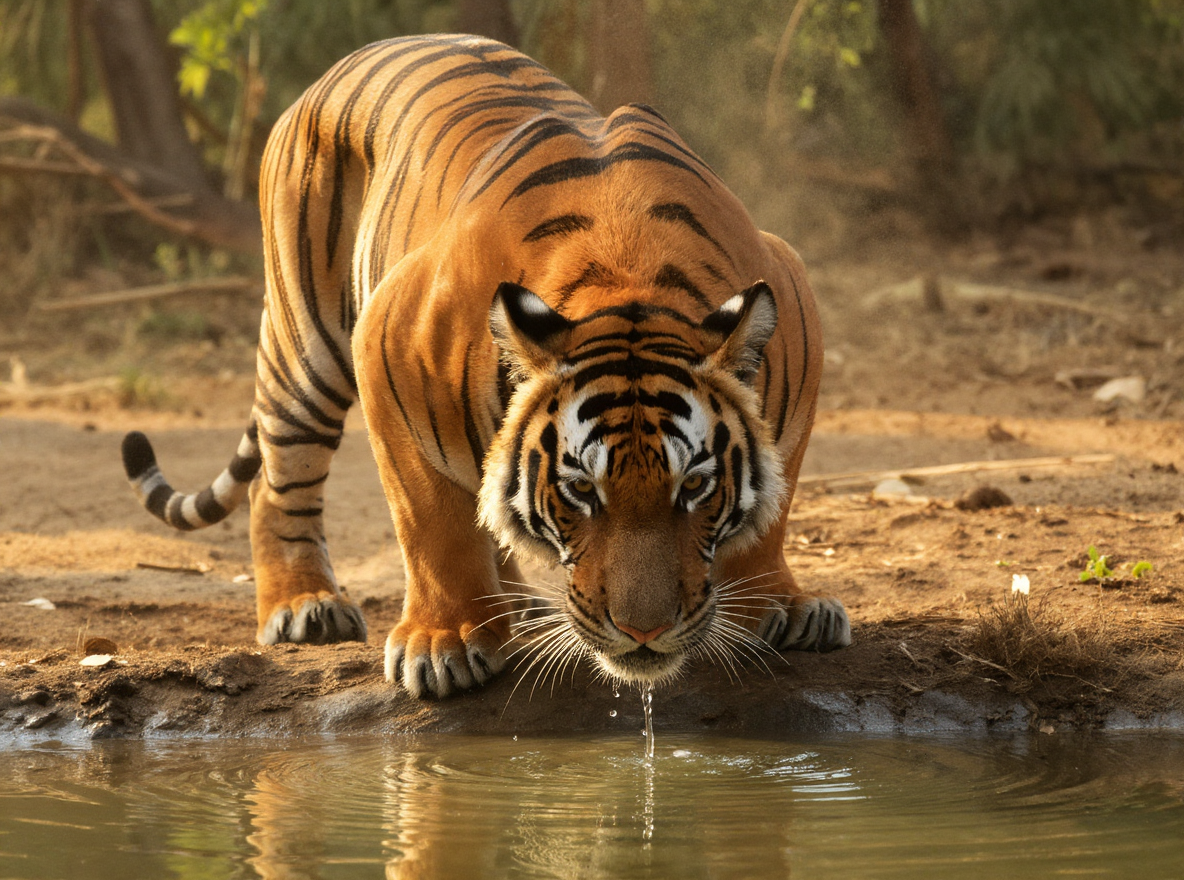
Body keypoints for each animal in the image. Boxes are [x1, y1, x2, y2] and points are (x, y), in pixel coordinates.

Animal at [121, 33, 851, 699]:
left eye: (695, 485)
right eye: (581, 490)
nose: (643, 633)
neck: (627, 278)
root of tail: (338, 67)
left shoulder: (797, 328)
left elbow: (771, 512)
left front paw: (779, 607)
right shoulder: (384, 349)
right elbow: (432, 522)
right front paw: (442, 643)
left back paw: (515, 601)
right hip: (307, 344)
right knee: (278, 480)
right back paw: (304, 606)